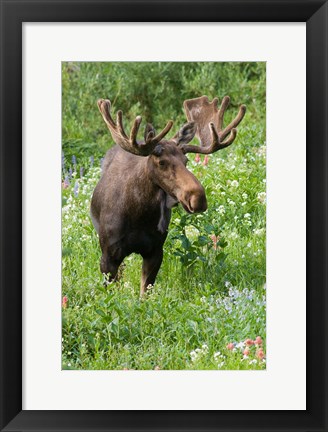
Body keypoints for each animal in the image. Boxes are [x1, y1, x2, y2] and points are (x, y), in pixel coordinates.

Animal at [91, 96, 245, 296]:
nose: (198, 198)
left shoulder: (155, 251)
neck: (139, 216)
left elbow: (145, 293)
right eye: (161, 162)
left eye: (186, 160)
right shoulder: (108, 255)